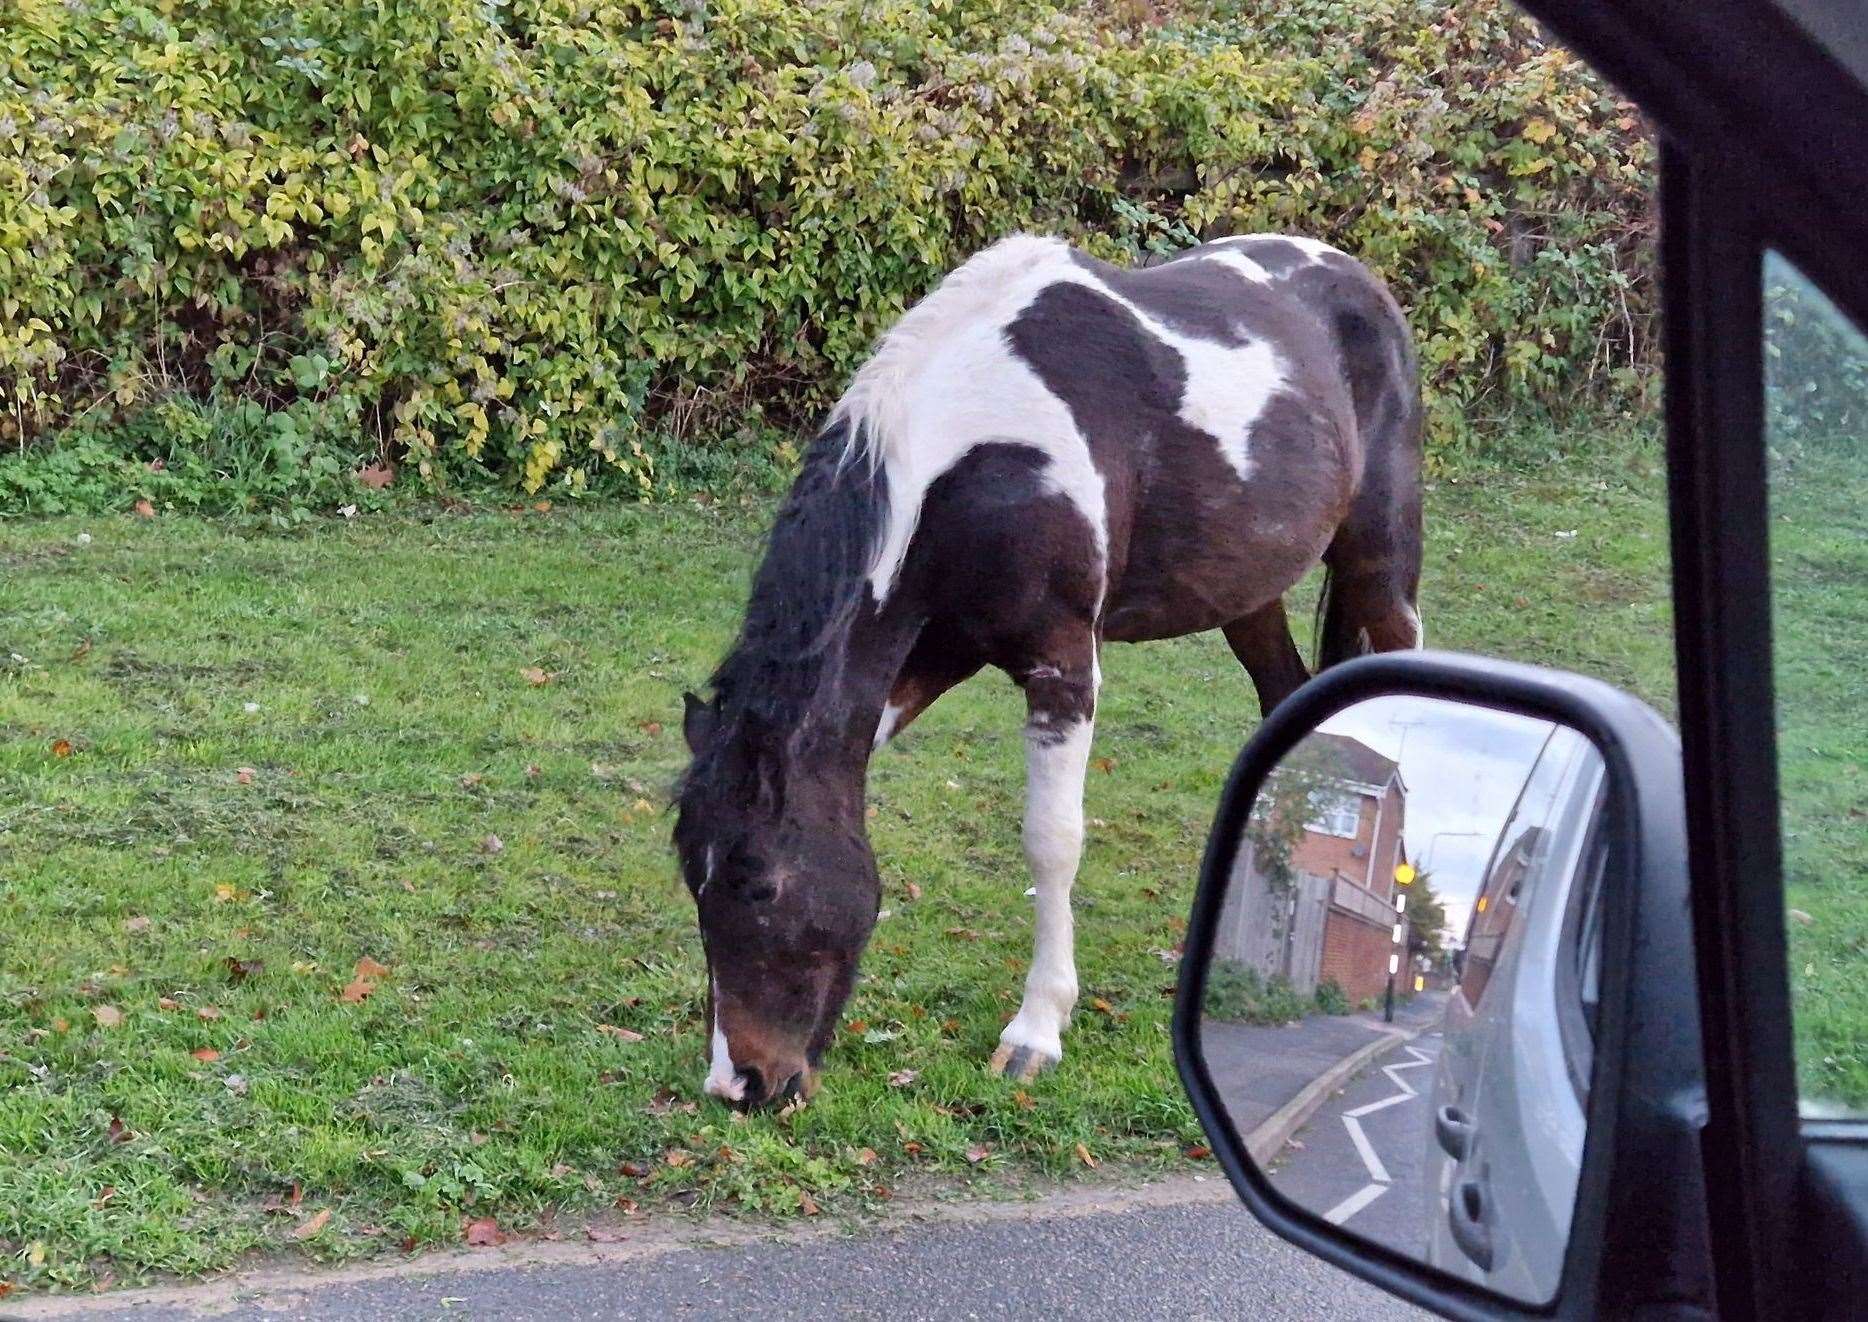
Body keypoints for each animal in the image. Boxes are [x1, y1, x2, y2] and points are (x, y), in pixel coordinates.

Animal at [679, 229, 1419, 1105]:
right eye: (691, 879)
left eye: (761, 884)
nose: (742, 1083)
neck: (984, 448)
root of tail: (1352, 274)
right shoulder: (942, 650)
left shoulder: (1063, 668)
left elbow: (1051, 842)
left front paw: (1037, 1031)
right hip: (1248, 594)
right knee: (1282, 698)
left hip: (1381, 562)